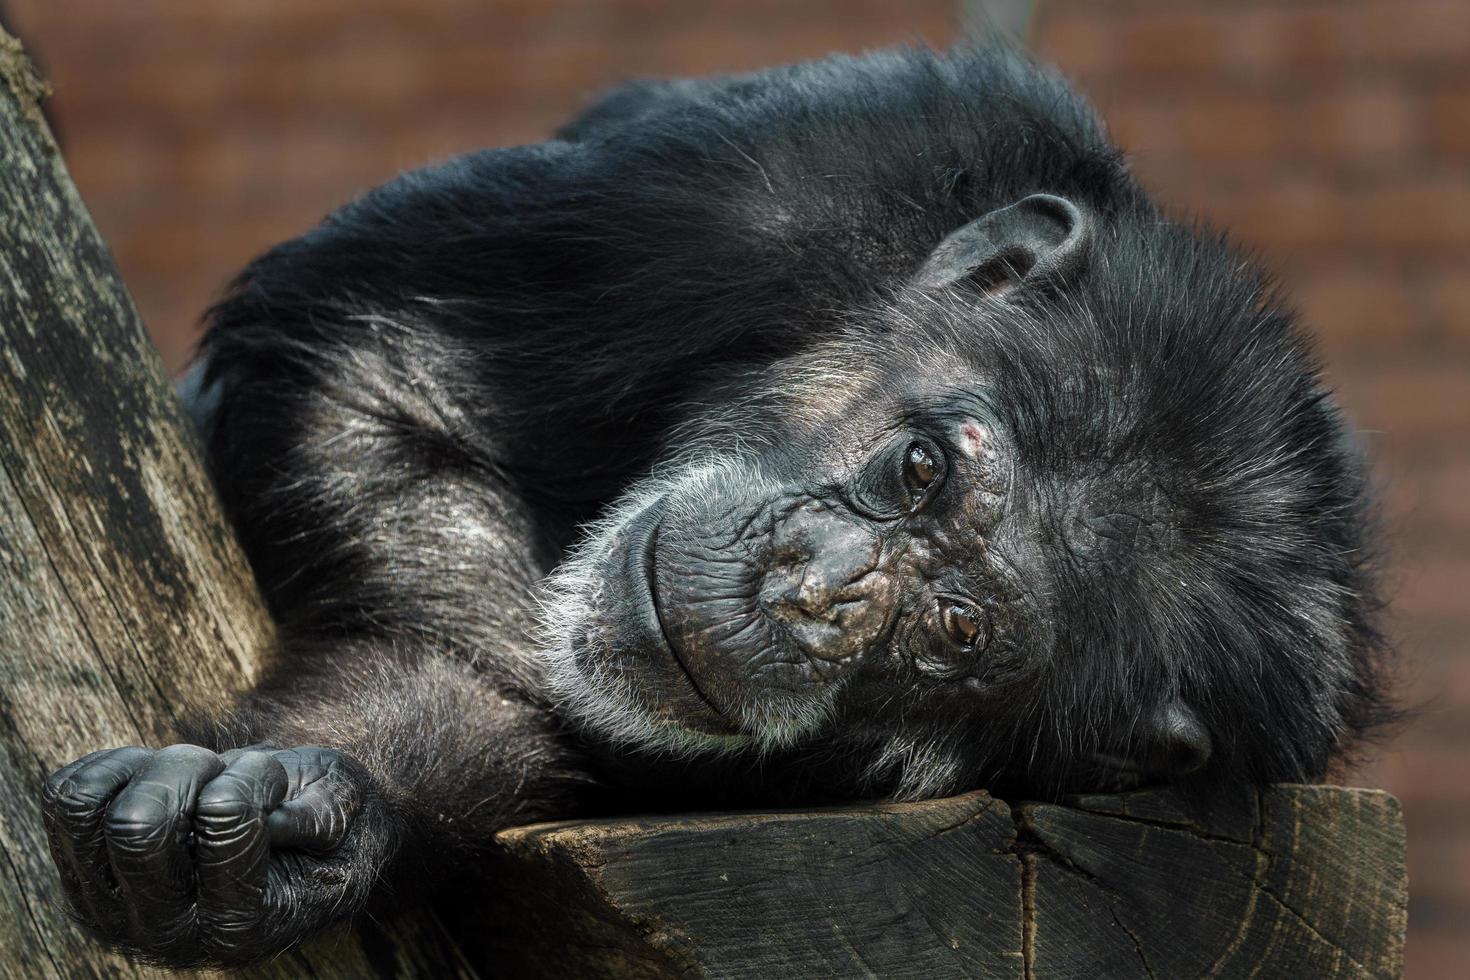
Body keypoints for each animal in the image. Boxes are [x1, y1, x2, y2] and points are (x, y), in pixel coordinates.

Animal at [37, 44, 1387, 963]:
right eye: (922, 471)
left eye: (957, 633)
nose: (816, 587)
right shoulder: (777, 186)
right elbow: (365, 361)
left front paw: (326, 803)